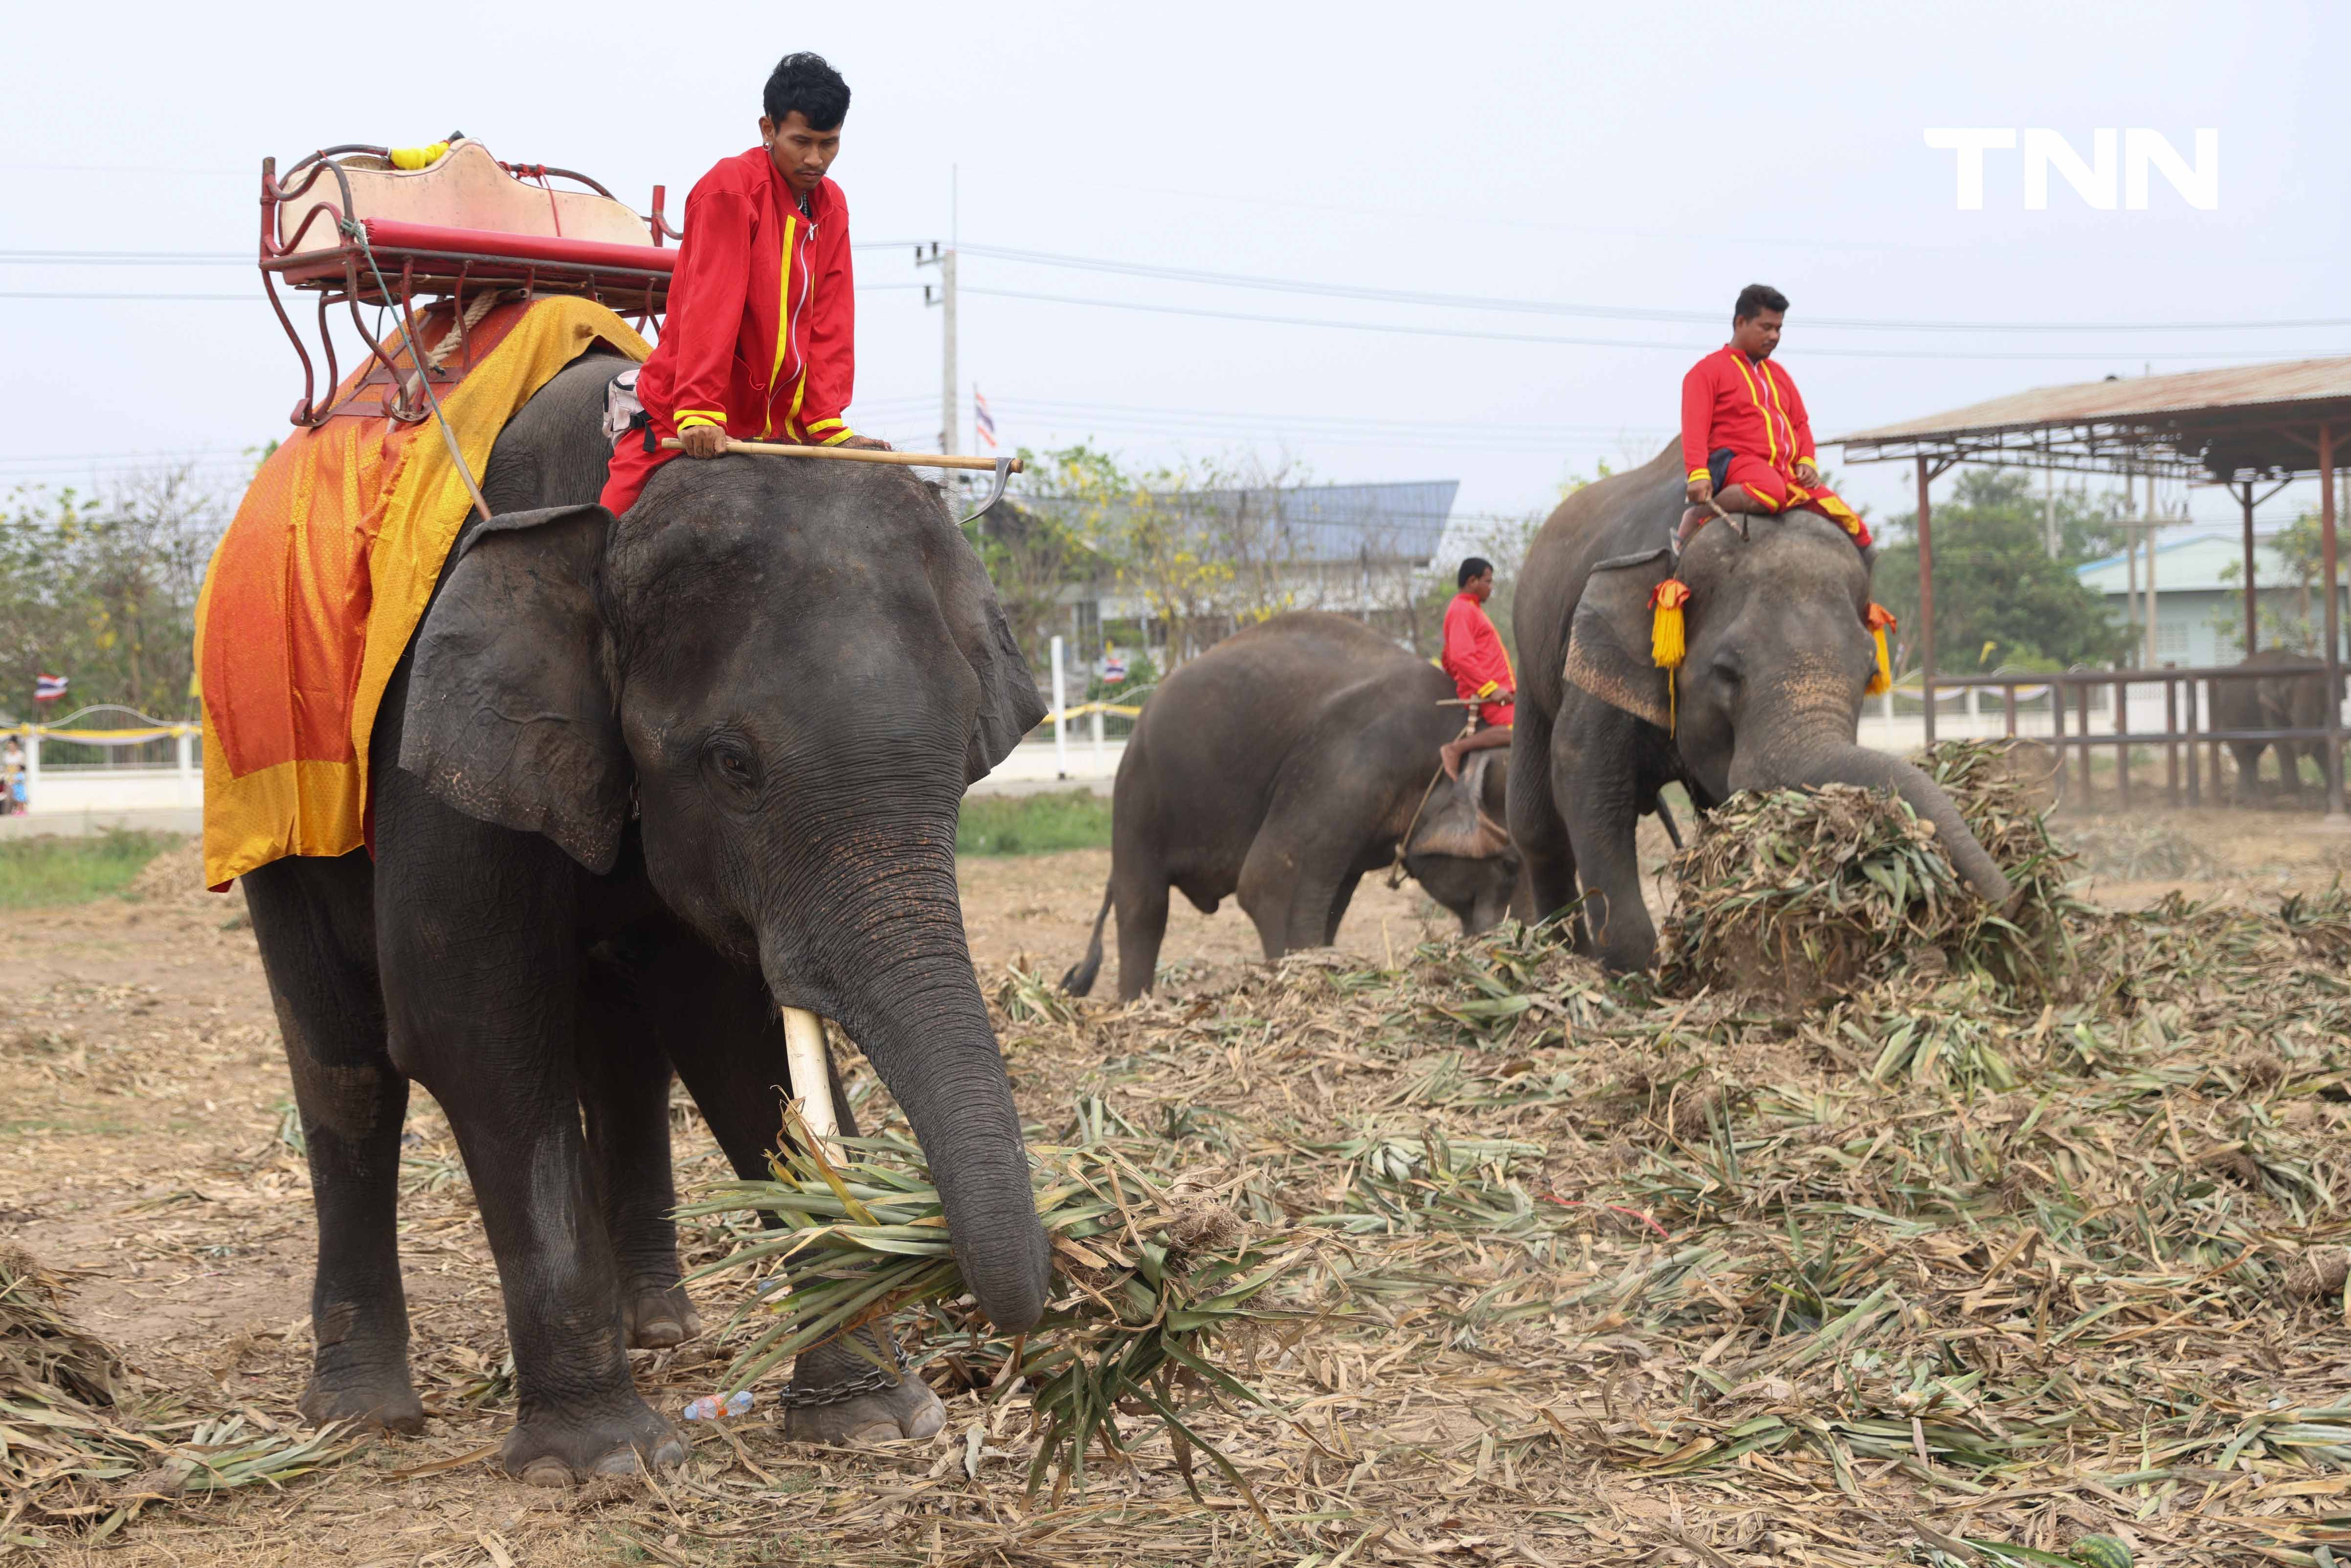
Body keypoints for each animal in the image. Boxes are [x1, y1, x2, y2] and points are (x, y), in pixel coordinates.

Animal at [238, 352, 1048, 1485]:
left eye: (964, 757)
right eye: (734, 765)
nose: (1011, 1327)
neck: (614, 497)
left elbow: (727, 1033)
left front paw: (870, 1420)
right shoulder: (441, 726)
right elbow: (466, 1024)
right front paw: (607, 1464)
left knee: (620, 1047)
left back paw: (659, 1328)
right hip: (278, 818)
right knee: (346, 1065)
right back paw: (363, 1416)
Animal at [1062, 606, 1523, 1001]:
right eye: (1510, 866)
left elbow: (1329, 904)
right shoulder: (1350, 763)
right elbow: (1271, 882)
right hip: (1137, 795)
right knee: (1144, 906)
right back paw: (1134, 1006)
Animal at [1514, 442, 2012, 973]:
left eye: (1867, 674)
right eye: (1726, 673)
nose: (2009, 907)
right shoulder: (1604, 657)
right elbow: (1586, 778)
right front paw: (1643, 975)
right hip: (1531, 661)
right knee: (1537, 825)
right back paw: (1559, 956)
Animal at [2210, 649, 2341, 804]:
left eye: (2322, 691)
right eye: (2287, 692)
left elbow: (2321, 742)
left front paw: (2333, 797)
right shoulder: (2267, 705)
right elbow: (2283, 741)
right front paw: (2293, 796)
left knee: (2253, 753)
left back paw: (2246, 798)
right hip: (2227, 718)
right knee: (2242, 752)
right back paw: (2251, 799)